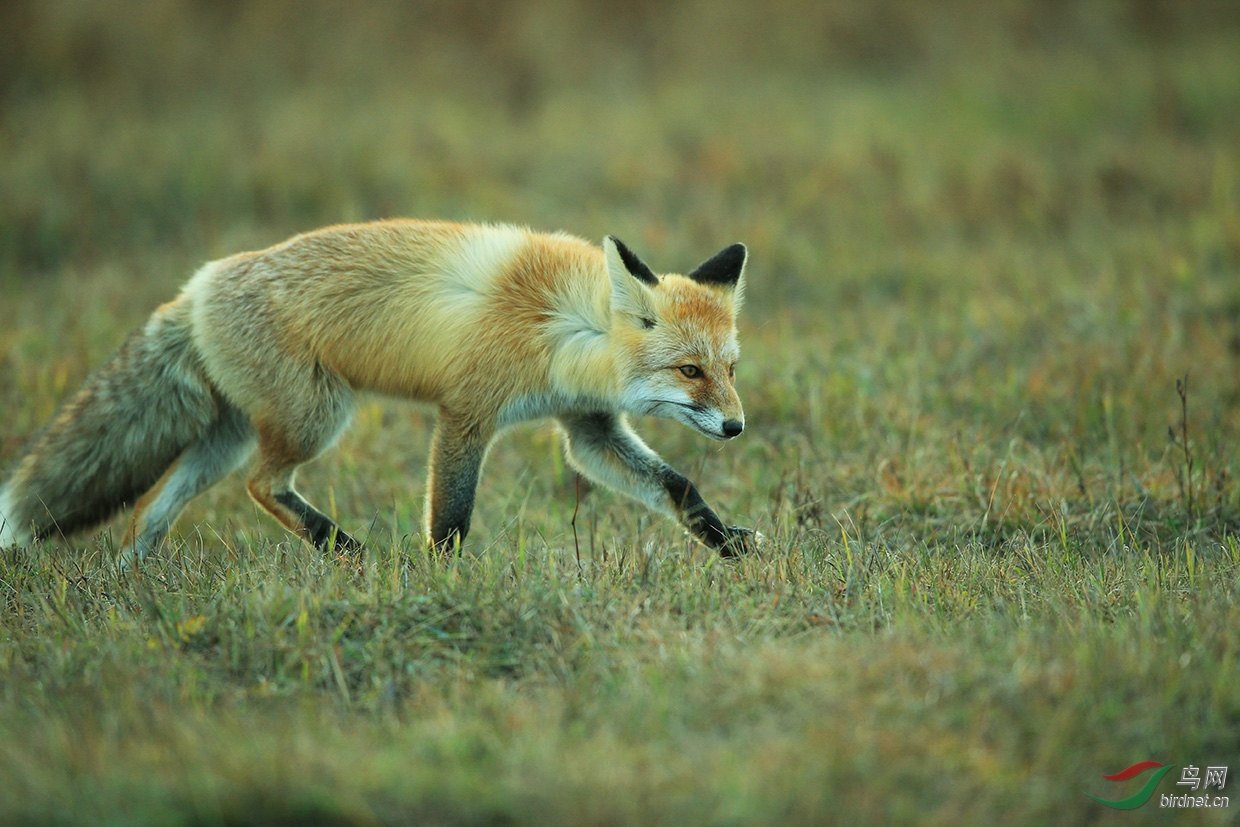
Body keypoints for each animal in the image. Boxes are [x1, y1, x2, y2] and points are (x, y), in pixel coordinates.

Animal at [0, 219, 753, 560]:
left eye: (731, 369)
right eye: (690, 371)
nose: (737, 428)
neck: (566, 329)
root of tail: (198, 286)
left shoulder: (587, 427)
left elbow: (678, 486)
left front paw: (728, 546)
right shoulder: (466, 414)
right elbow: (450, 521)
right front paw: (445, 583)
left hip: (230, 437)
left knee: (149, 507)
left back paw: (129, 586)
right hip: (316, 416)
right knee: (260, 485)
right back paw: (344, 549)